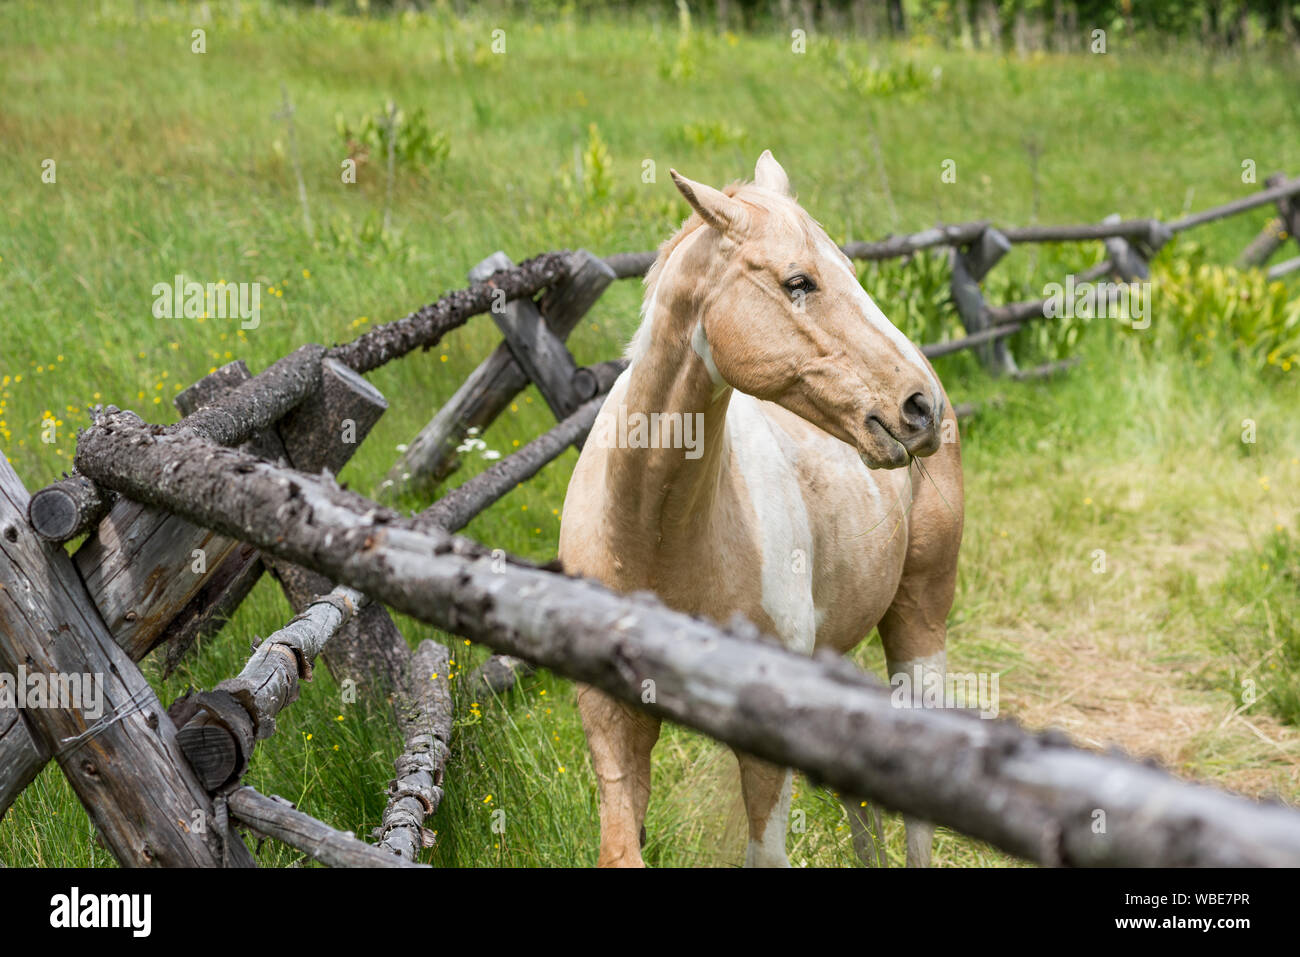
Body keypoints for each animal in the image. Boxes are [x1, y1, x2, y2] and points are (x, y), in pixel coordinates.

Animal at [557, 151, 964, 868]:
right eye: (798, 280)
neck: (650, 535)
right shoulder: (611, 720)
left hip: (920, 621)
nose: (920, 406)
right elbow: (621, 847)